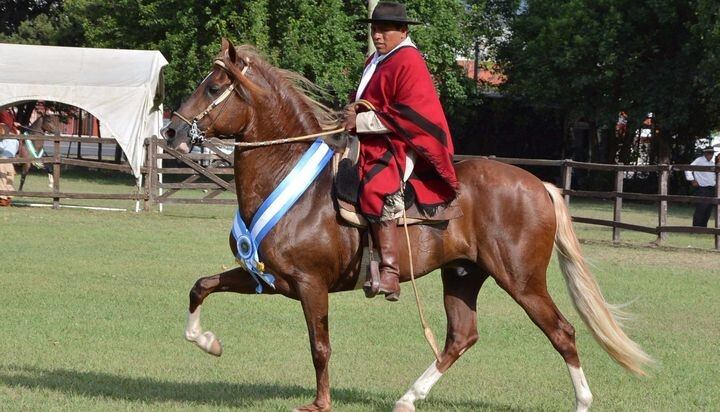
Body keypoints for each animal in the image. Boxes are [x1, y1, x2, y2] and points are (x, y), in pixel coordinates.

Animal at [163, 40, 652, 412]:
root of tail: (540, 185)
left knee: (562, 332)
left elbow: (320, 346)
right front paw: (206, 341)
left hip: (522, 280)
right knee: (461, 337)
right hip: (463, 275)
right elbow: (200, 286)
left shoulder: (309, 284)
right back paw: (408, 397)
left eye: (213, 86)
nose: (171, 132)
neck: (289, 180)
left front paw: (320, 404)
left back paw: (582, 401)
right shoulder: (265, 277)